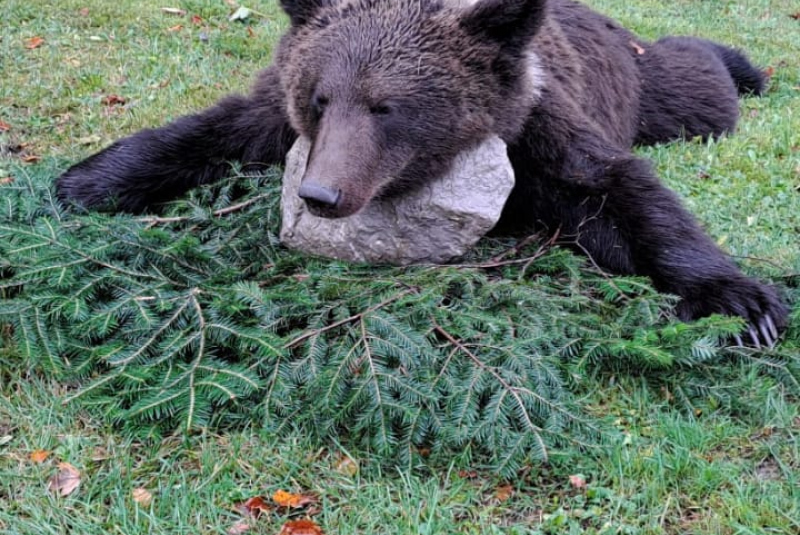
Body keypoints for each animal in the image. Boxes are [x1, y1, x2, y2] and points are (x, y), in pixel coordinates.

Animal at [54, 0, 788, 348]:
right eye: (320, 98)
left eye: (388, 106)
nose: (321, 193)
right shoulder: (276, 117)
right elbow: (214, 130)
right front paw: (85, 182)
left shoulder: (533, 131)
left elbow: (617, 192)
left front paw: (741, 303)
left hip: (646, 87)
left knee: (694, 82)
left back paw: (744, 66)